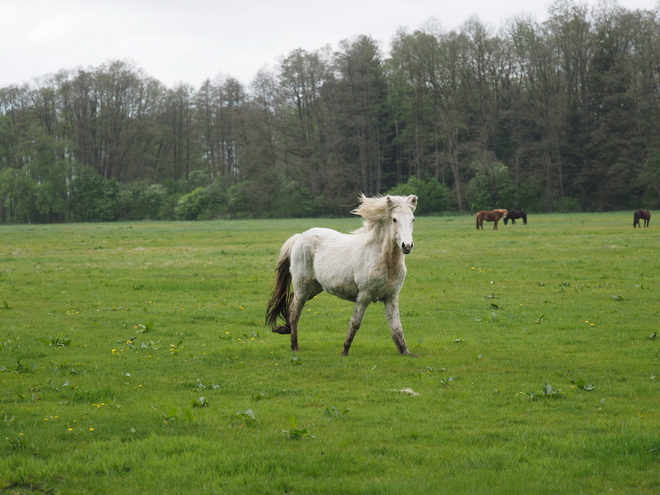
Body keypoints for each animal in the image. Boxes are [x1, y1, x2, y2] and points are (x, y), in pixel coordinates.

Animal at [264, 194, 416, 356]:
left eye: (413, 219)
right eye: (394, 219)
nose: (407, 246)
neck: (384, 260)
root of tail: (300, 237)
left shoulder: (391, 297)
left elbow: (396, 326)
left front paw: (406, 351)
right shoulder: (364, 296)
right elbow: (355, 323)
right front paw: (345, 350)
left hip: (314, 288)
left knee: (292, 300)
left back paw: (285, 330)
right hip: (303, 286)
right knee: (295, 312)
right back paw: (295, 346)